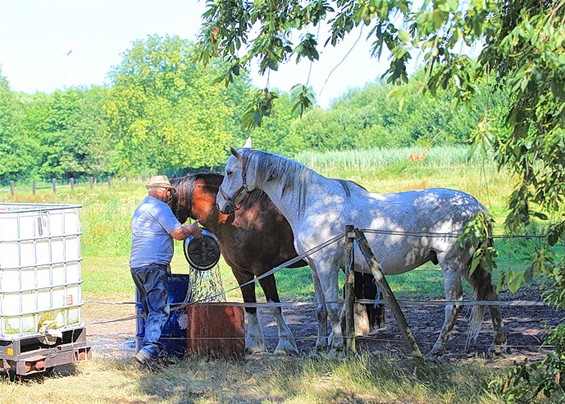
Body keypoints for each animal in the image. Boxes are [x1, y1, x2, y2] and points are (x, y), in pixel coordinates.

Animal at [171, 172, 384, 356]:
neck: (239, 217)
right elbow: (250, 306)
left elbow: (274, 306)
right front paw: (253, 345)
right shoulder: (241, 272)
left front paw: (284, 344)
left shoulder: (263, 270)